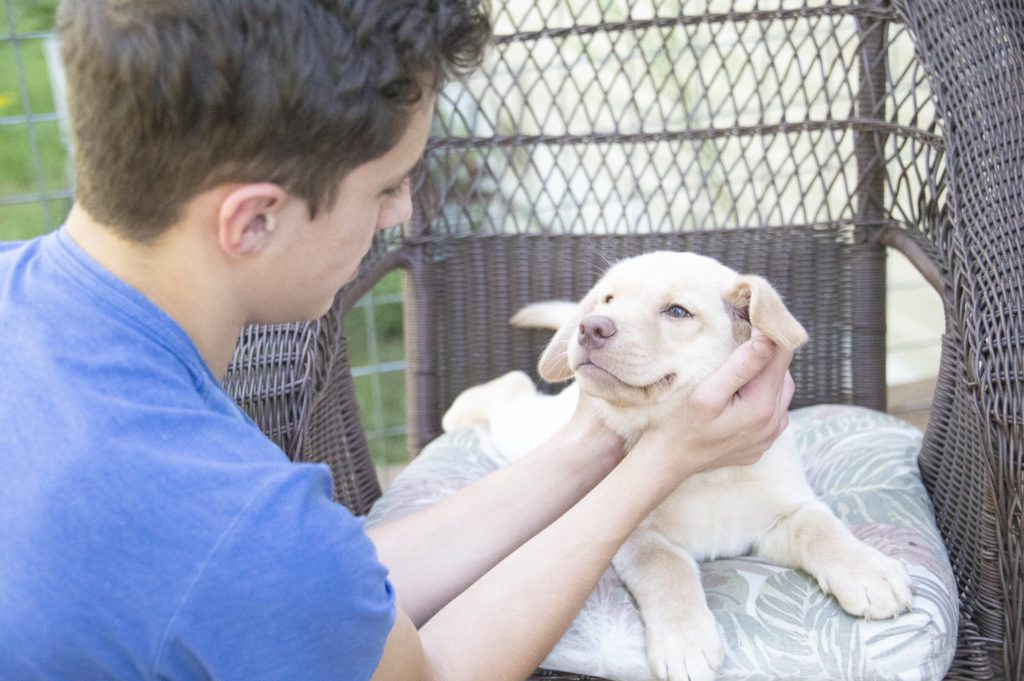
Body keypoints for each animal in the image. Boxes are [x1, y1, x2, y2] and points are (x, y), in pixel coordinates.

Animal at [444, 249, 917, 679]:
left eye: (676, 312)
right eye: (608, 299)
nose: (590, 325)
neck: (705, 474)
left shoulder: (782, 517)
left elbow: (822, 529)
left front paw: (868, 572)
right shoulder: (638, 538)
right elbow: (669, 573)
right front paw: (685, 643)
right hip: (526, 431)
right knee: (512, 387)